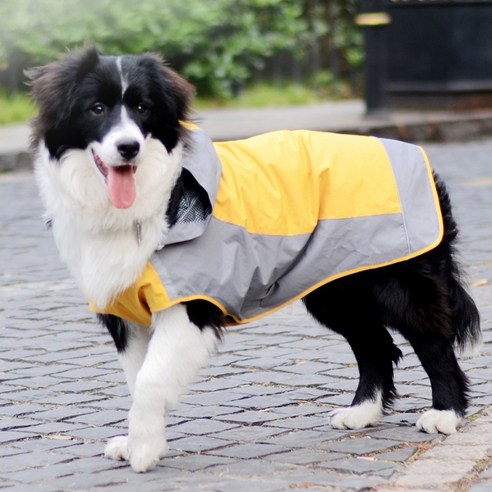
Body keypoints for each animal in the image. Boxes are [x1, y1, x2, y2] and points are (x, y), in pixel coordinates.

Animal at [26, 49, 480, 472]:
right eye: (96, 109)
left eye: (142, 109)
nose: (128, 147)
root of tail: (420, 160)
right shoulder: (124, 312)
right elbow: (137, 380)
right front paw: (141, 441)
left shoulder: (189, 305)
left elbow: (152, 380)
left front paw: (144, 451)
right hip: (333, 288)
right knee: (376, 345)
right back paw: (362, 412)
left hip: (399, 282)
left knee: (433, 342)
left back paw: (445, 414)